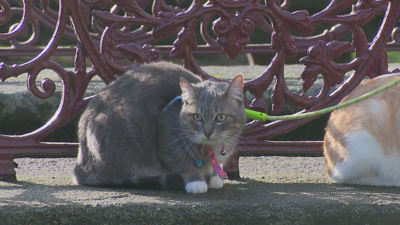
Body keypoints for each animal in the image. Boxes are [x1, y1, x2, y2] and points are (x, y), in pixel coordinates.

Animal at [73, 61, 245, 193]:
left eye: (221, 117)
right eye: (197, 117)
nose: (207, 132)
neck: (211, 148)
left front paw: (215, 177)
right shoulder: (166, 141)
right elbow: (183, 164)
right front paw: (196, 182)